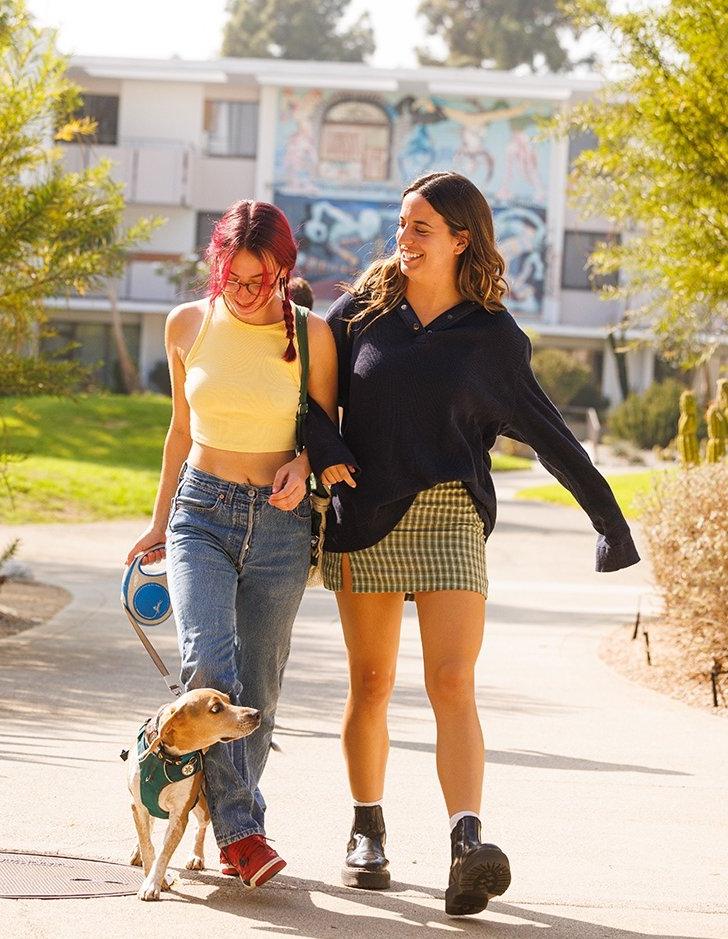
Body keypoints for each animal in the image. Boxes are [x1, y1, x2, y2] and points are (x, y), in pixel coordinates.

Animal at [126, 692, 262, 904]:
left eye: (229, 700)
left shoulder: (179, 816)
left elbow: (163, 853)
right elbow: (148, 846)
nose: (256, 714)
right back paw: (137, 851)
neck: (167, 759)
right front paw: (150, 874)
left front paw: (153, 883)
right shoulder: (138, 806)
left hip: (201, 806)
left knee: (201, 828)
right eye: (216, 708)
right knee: (148, 828)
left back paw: (197, 856)